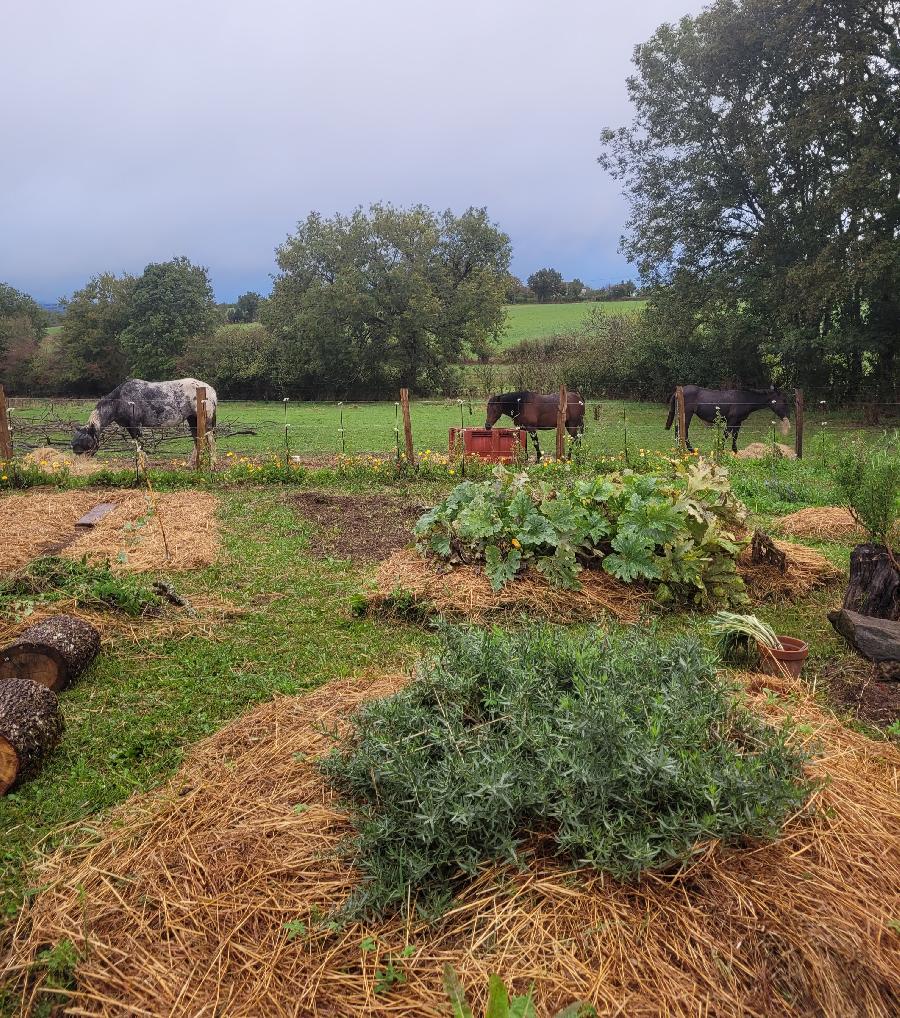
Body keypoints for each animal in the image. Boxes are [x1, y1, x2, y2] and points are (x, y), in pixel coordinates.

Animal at [70, 380, 217, 464]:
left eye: (86, 443)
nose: (80, 463)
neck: (120, 401)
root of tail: (210, 389)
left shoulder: (135, 426)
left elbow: (139, 445)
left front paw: (142, 463)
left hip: (205, 423)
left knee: (210, 441)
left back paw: (212, 464)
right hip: (193, 420)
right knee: (198, 440)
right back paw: (192, 464)